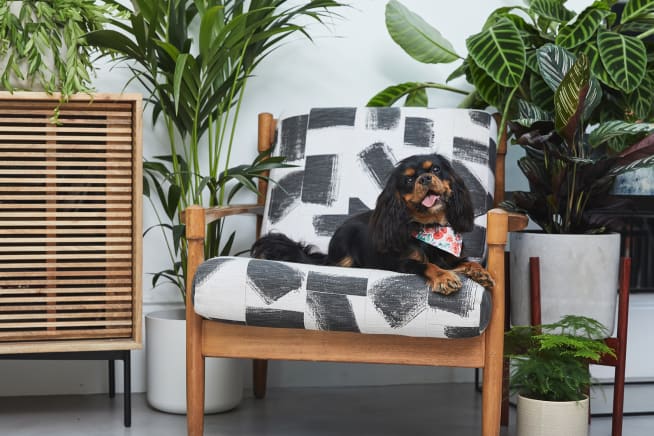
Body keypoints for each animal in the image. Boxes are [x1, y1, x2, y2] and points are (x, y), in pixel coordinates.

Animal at [254, 152, 494, 294]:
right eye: (408, 179)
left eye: (435, 169)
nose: (424, 178)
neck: (431, 228)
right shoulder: (398, 264)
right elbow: (426, 264)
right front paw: (444, 277)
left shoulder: (450, 256)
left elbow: (467, 262)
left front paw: (480, 272)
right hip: (343, 256)